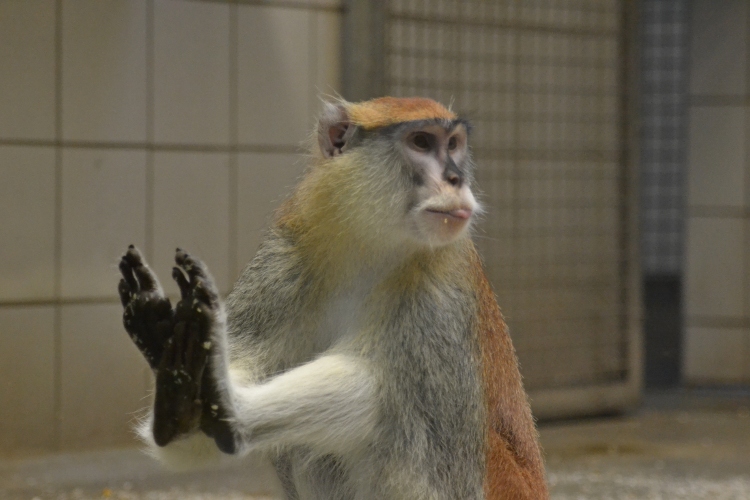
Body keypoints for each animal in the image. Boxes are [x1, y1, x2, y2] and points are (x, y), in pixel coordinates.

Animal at [118, 96, 548, 499]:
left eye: (454, 144)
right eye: (422, 142)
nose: (456, 178)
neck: (369, 244)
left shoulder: (438, 293)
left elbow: (430, 472)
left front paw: (222, 403)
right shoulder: (287, 255)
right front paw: (186, 392)